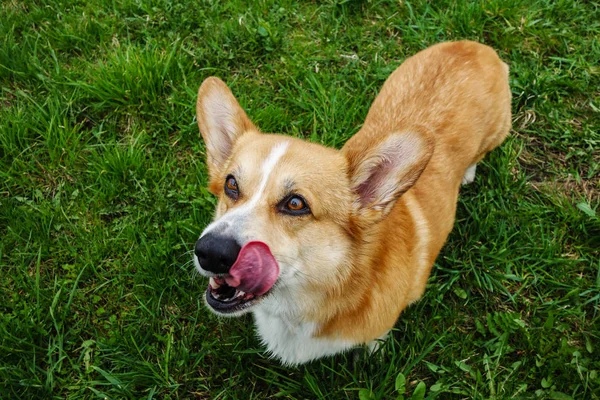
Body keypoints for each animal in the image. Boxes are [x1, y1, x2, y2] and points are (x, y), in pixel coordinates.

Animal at [192, 40, 510, 366]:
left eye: (295, 204)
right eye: (231, 185)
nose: (210, 252)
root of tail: (473, 46)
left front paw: (371, 354)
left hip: (497, 134)